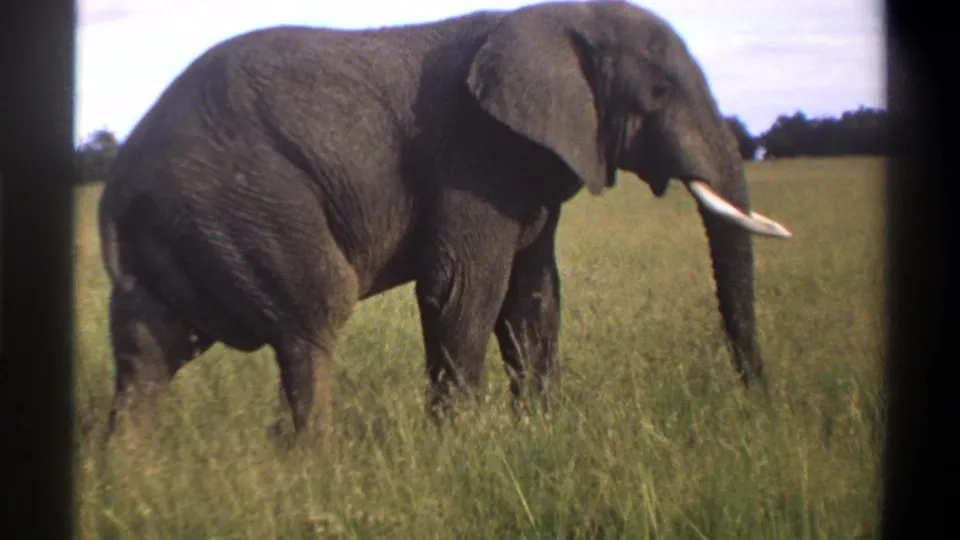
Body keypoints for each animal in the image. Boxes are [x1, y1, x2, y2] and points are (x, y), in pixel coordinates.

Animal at [97, 0, 791, 445]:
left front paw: (541, 432)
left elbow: (534, 297)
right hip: (251, 206)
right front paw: (456, 450)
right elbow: (464, 288)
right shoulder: (472, 155)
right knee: (311, 321)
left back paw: (133, 480)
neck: (555, 18)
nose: (757, 400)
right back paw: (319, 466)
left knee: (147, 355)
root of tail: (120, 177)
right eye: (659, 94)